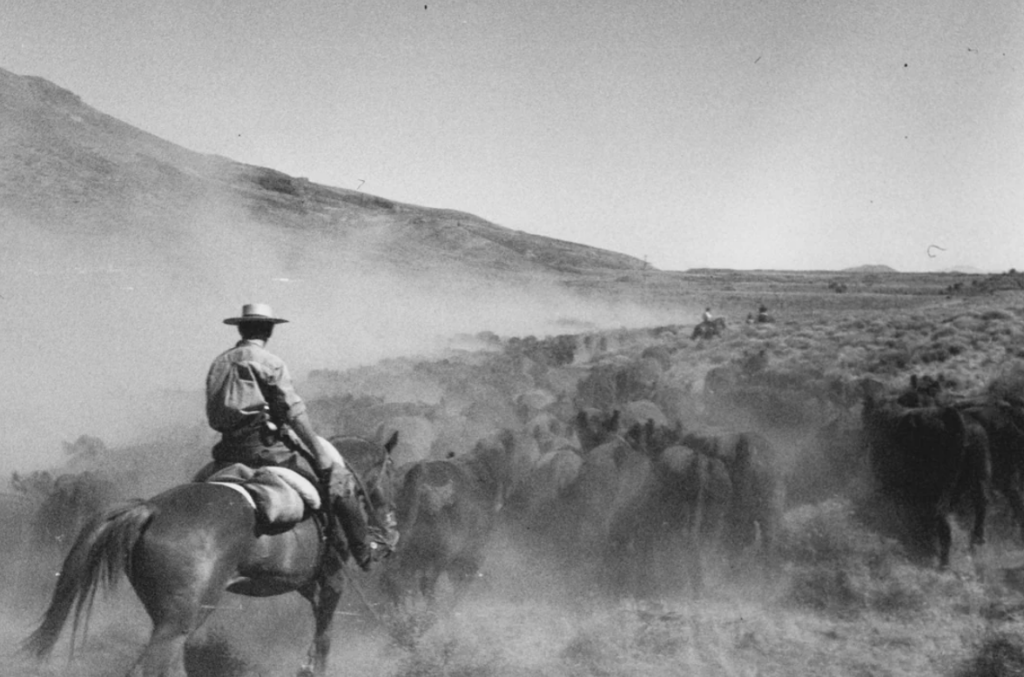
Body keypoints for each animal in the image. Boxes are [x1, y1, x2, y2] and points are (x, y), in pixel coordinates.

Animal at [23, 432, 399, 675]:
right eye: (391, 476)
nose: (391, 534)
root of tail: (149, 510)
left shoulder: (305, 581)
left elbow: (318, 615)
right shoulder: (333, 576)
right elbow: (325, 632)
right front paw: (313, 667)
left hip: (174, 620)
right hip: (182, 620)